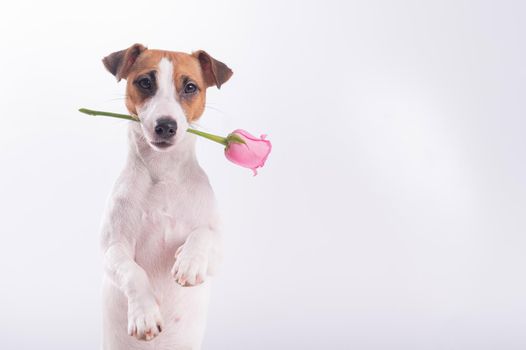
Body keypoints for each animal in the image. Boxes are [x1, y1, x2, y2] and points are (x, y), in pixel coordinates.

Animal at [98, 43, 233, 350]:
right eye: (145, 82)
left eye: (190, 87)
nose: (166, 125)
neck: (163, 172)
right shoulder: (112, 250)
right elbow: (132, 272)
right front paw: (144, 315)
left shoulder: (219, 252)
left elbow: (203, 235)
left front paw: (189, 262)